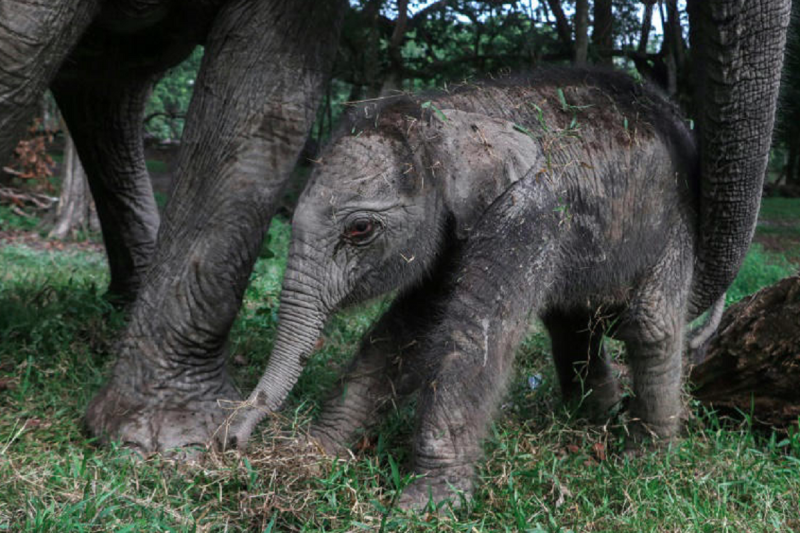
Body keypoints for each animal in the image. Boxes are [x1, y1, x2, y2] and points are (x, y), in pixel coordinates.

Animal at [223, 70, 700, 508]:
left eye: (360, 229)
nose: (230, 440)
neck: (453, 114)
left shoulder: (531, 209)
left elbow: (473, 334)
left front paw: (424, 506)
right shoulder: (450, 232)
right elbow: (406, 331)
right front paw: (318, 452)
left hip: (676, 223)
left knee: (652, 324)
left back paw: (645, 459)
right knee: (572, 326)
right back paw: (591, 420)